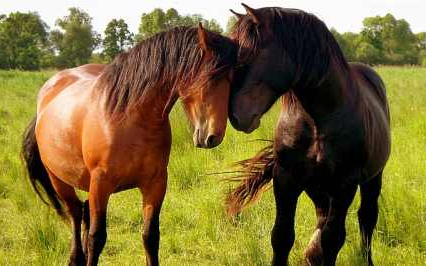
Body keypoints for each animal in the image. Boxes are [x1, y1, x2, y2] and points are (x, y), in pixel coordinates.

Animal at [21, 23, 236, 264]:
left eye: (233, 79)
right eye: (210, 77)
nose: (213, 136)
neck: (129, 118)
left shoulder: (156, 183)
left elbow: (150, 236)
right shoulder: (101, 184)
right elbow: (97, 238)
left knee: (83, 212)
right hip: (58, 179)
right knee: (75, 213)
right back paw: (76, 257)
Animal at [226, 4, 390, 266]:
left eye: (249, 54)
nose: (235, 114)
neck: (316, 121)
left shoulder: (345, 184)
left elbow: (333, 239)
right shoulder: (285, 178)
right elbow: (281, 236)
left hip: (372, 178)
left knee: (366, 217)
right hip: (317, 188)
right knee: (323, 218)